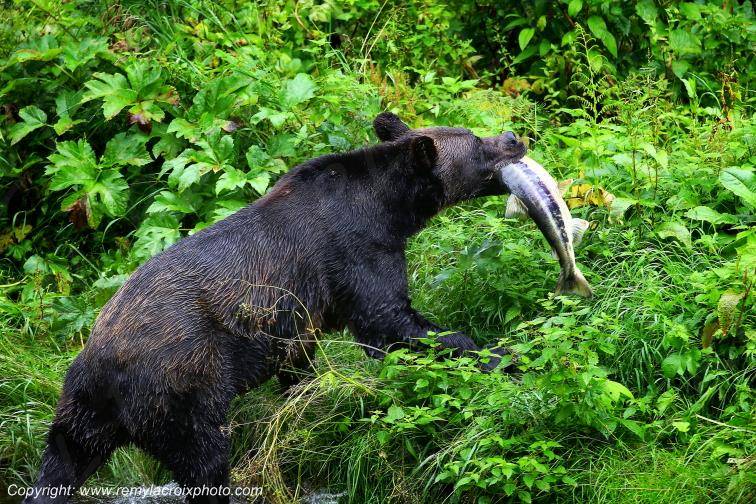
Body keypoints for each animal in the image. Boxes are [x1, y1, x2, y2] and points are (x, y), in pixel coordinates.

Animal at [25, 112, 527, 504]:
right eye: (475, 141)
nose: (514, 136)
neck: (390, 208)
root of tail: (99, 365)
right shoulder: (353, 251)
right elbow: (388, 321)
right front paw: (499, 356)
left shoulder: (298, 319)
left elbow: (301, 364)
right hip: (181, 385)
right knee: (204, 458)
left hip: (82, 410)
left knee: (62, 462)